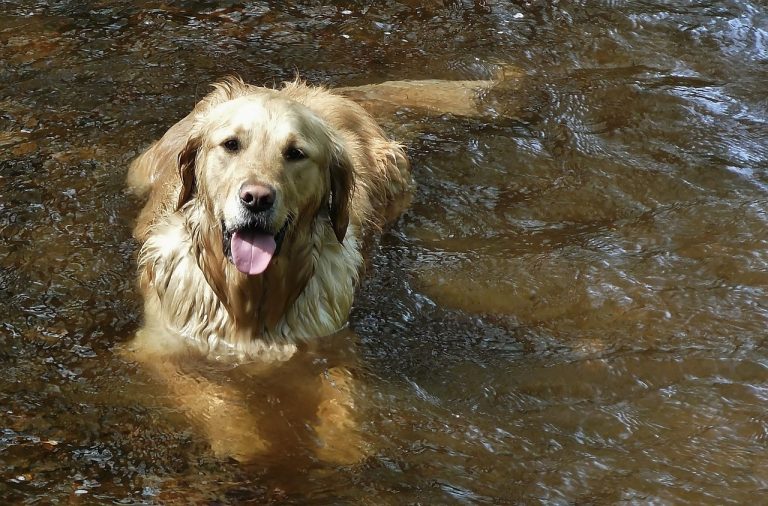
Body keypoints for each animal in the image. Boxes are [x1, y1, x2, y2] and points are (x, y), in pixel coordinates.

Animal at [125, 78, 412, 462]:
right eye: (231, 144)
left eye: (295, 153)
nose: (257, 198)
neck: (251, 295)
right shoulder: (160, 347)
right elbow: (210, 395)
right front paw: (243, 437)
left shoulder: (334, 343)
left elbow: (343, 391)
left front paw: (343, 441)